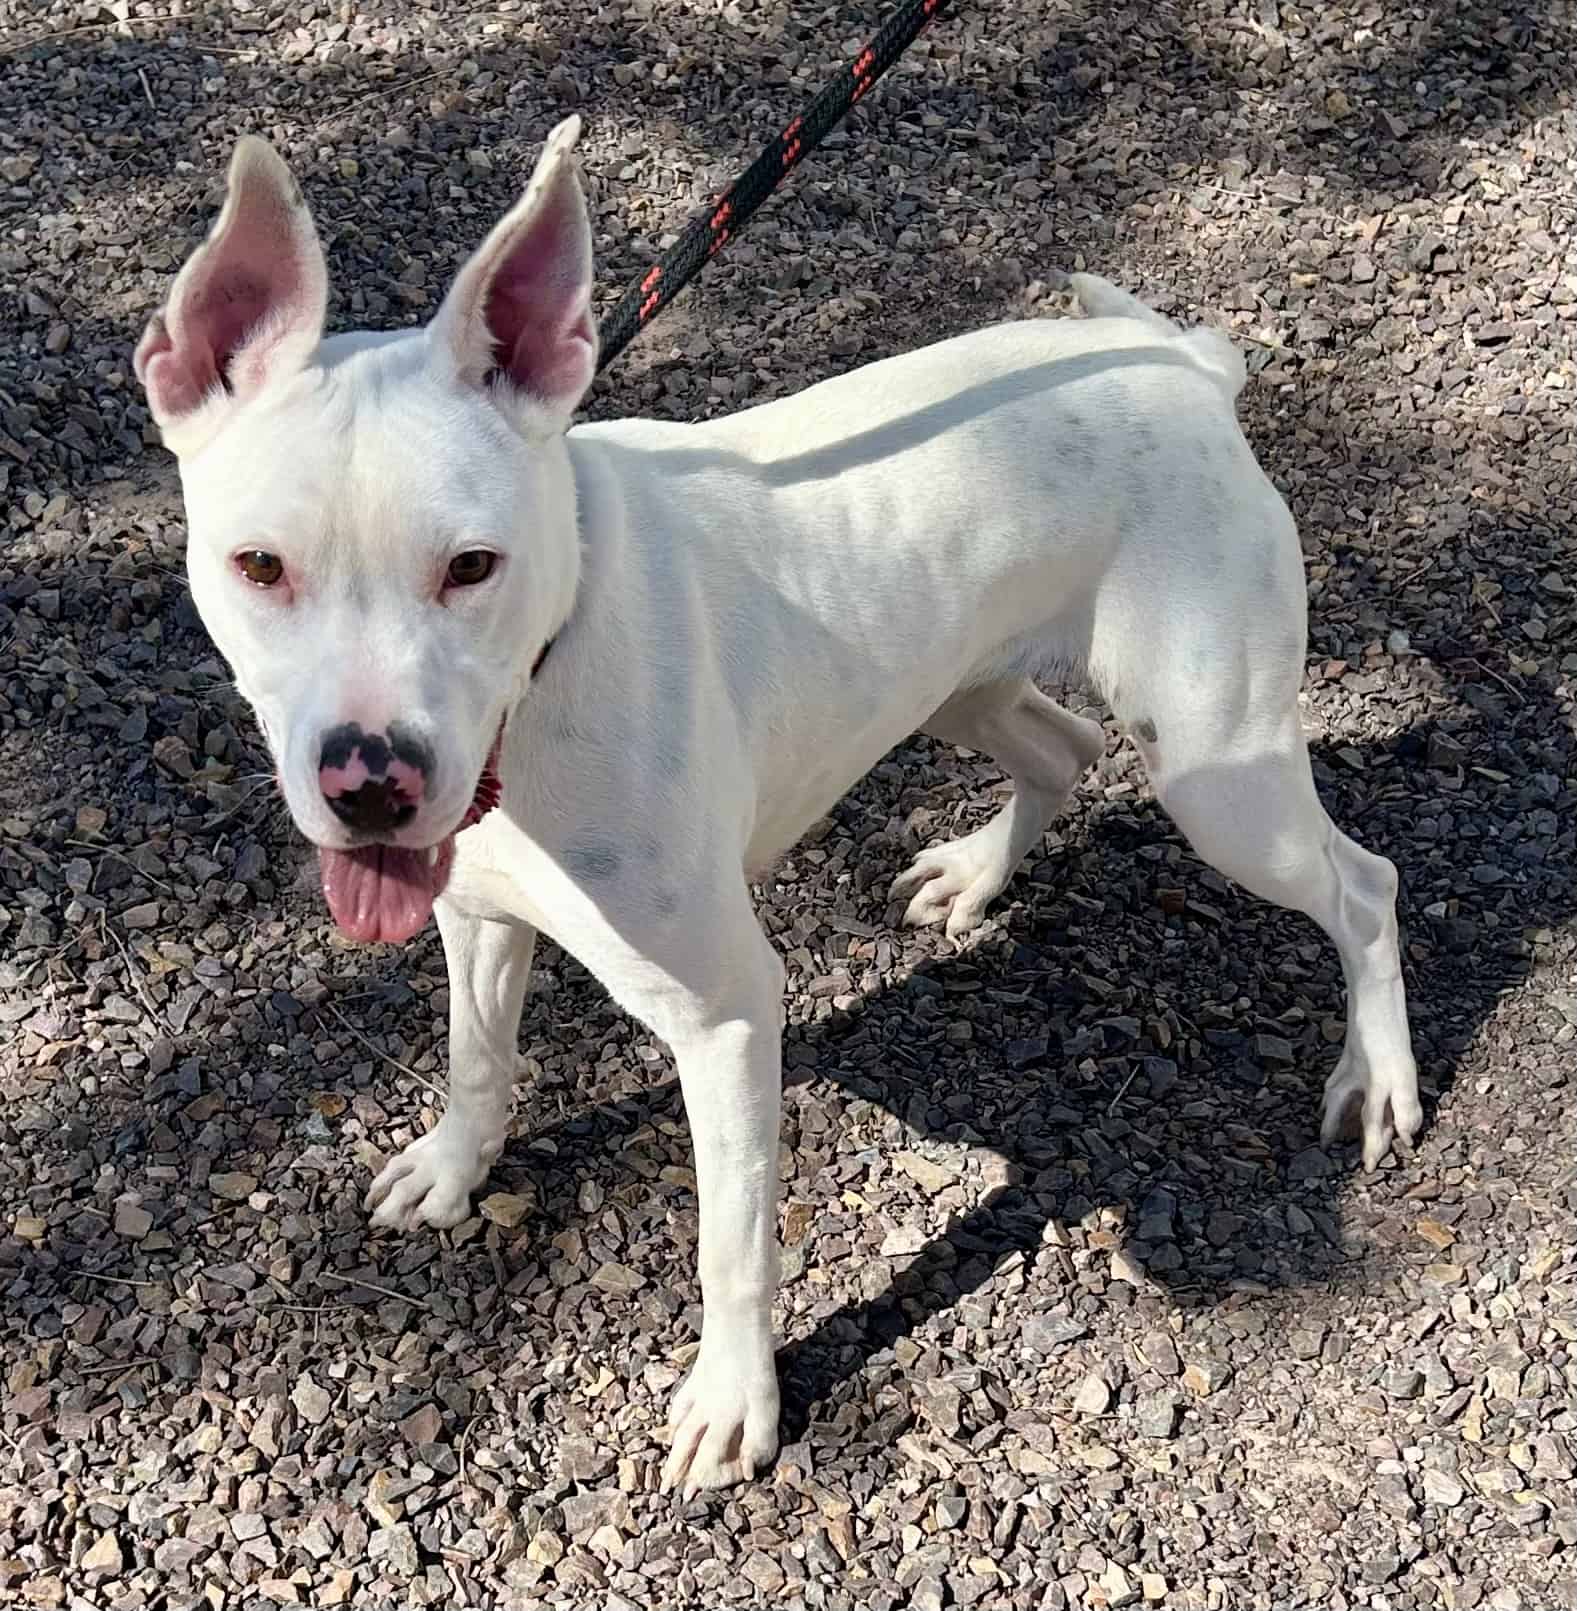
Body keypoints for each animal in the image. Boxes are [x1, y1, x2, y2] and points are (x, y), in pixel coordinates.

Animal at [134, 116, 1421, 1494]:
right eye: (259, 565)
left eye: (472, 565)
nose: (370, 781)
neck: (543, 670)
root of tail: (1182, 364)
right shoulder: (476, 910)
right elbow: (477, 1059)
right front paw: (451, 1169)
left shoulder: (726, 1014)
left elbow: (731, 1241)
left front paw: (733, 1401)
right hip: (959, 685)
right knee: (1062, 748)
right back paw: (974, 875)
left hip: (1215, 773)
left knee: (1362, 885)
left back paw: (1377, 1077)